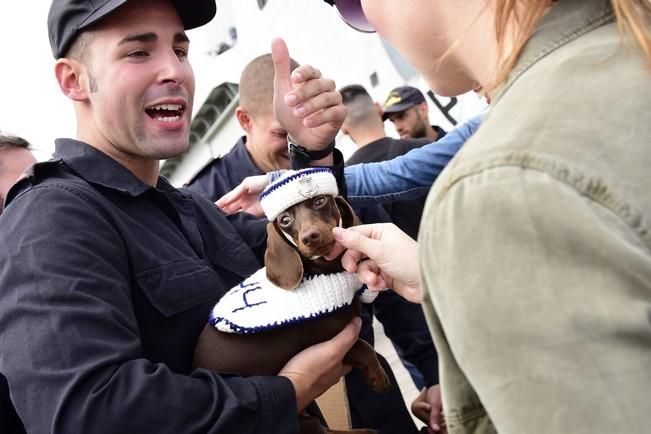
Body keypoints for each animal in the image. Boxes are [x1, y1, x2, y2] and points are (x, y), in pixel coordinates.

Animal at [192, 194, 388, 434]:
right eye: (285, 219)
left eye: (320, 201)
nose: (310, 237)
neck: (321, 271)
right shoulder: (332, 340)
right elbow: (364, 346)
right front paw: (378, 377)